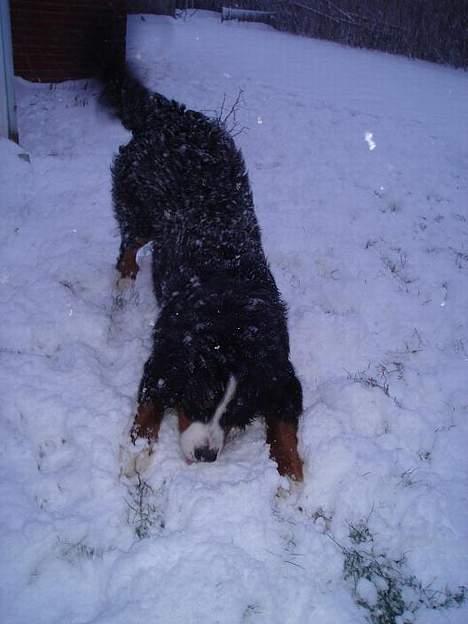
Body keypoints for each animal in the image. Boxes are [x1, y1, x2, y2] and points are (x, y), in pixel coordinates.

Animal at [103, 66, 304, 480]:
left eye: (235, 413)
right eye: (198, 399)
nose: (205, 455)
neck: (233, 315)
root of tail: (165, 112)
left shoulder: (279, 366)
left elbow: (284, 420)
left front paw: (290, 471)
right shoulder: (165, 352)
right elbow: (151, 401)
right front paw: (138, 450)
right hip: (140, 211)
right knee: (128, 245)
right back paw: (125, 282)